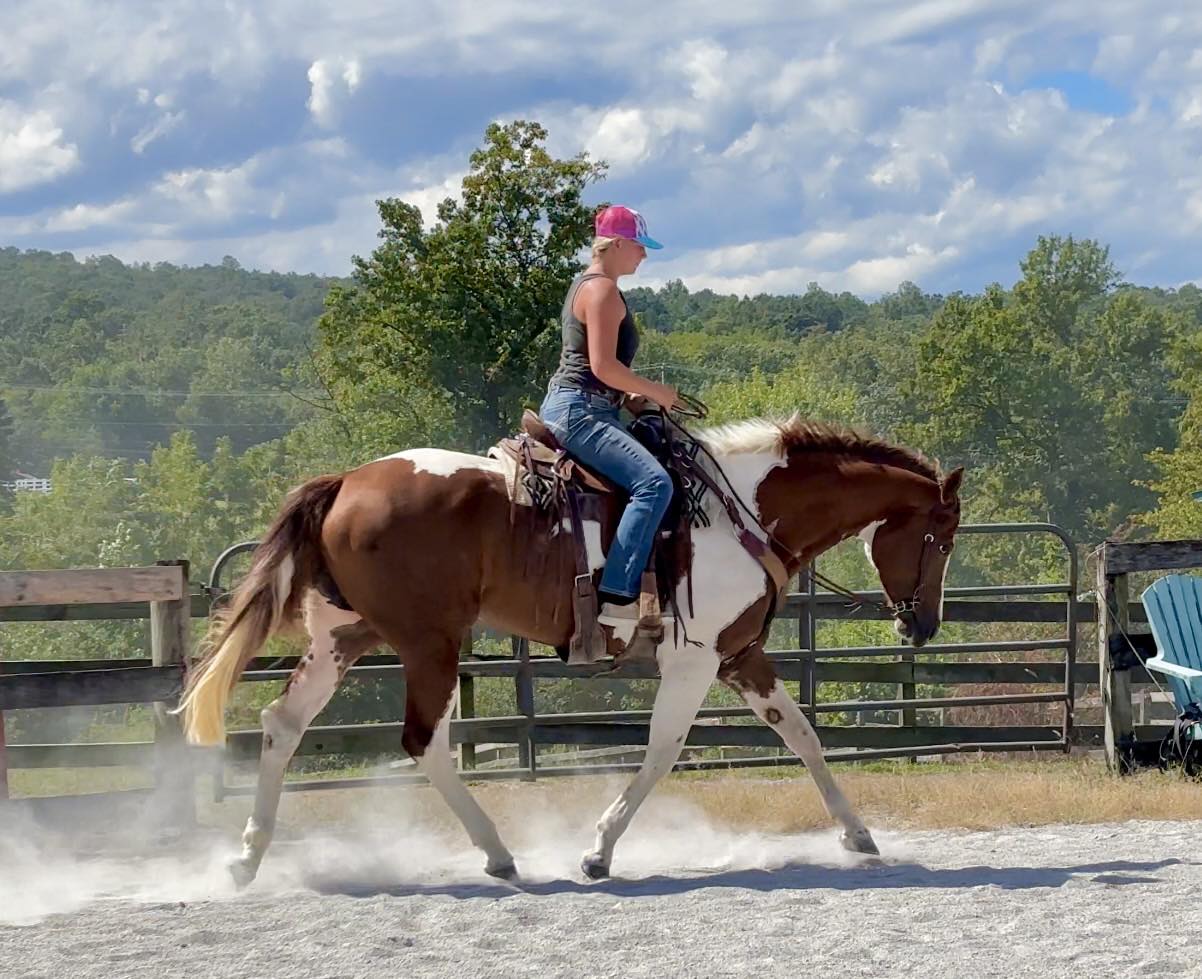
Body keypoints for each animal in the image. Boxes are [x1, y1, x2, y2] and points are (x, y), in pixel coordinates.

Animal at [176, 414, 963, 884]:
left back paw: (247, 857)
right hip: (430, 643)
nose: (922, 625)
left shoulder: (740, 656)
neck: (741, 513)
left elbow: (803, 735)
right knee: (424, 741)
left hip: (345, 636)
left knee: (282, 725)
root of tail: (347, 481)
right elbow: (662, 750)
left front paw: (858, 835)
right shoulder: (694, 660)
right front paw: (598, 849)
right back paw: (497, 853)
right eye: (941, 537)